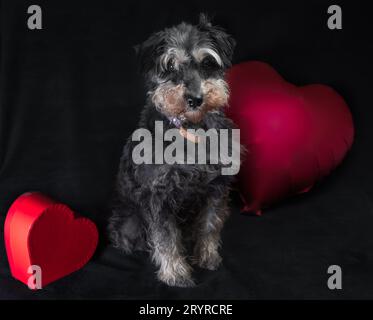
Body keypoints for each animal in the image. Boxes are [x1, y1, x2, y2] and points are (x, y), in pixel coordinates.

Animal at [109, 14, 240, 288]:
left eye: (207, 62)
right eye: (170, 66)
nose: (195, 99)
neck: (191, 131)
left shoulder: (216, 188)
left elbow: (209, 225)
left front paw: (207, 257)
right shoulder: (158, 196)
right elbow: (166, 237)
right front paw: (175, 273)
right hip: (130, 224)